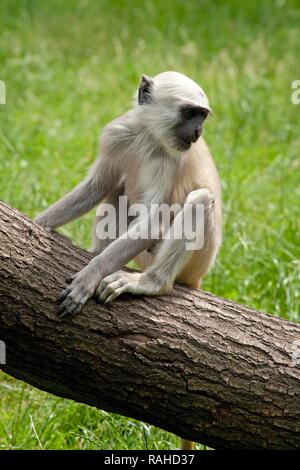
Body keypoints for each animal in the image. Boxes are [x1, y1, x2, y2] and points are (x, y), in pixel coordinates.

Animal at [35, 70, 223, 452]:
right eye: (191, 114)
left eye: (201, 116)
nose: (197, 132)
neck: (151, 137)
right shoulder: (119, 133)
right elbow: (97, 185)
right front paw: (38, 223)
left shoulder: (172, 159)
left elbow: (154, 221)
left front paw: (88, 279)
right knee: (118, 190)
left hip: (197, 258)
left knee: (201, 199)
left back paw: (150, 283)